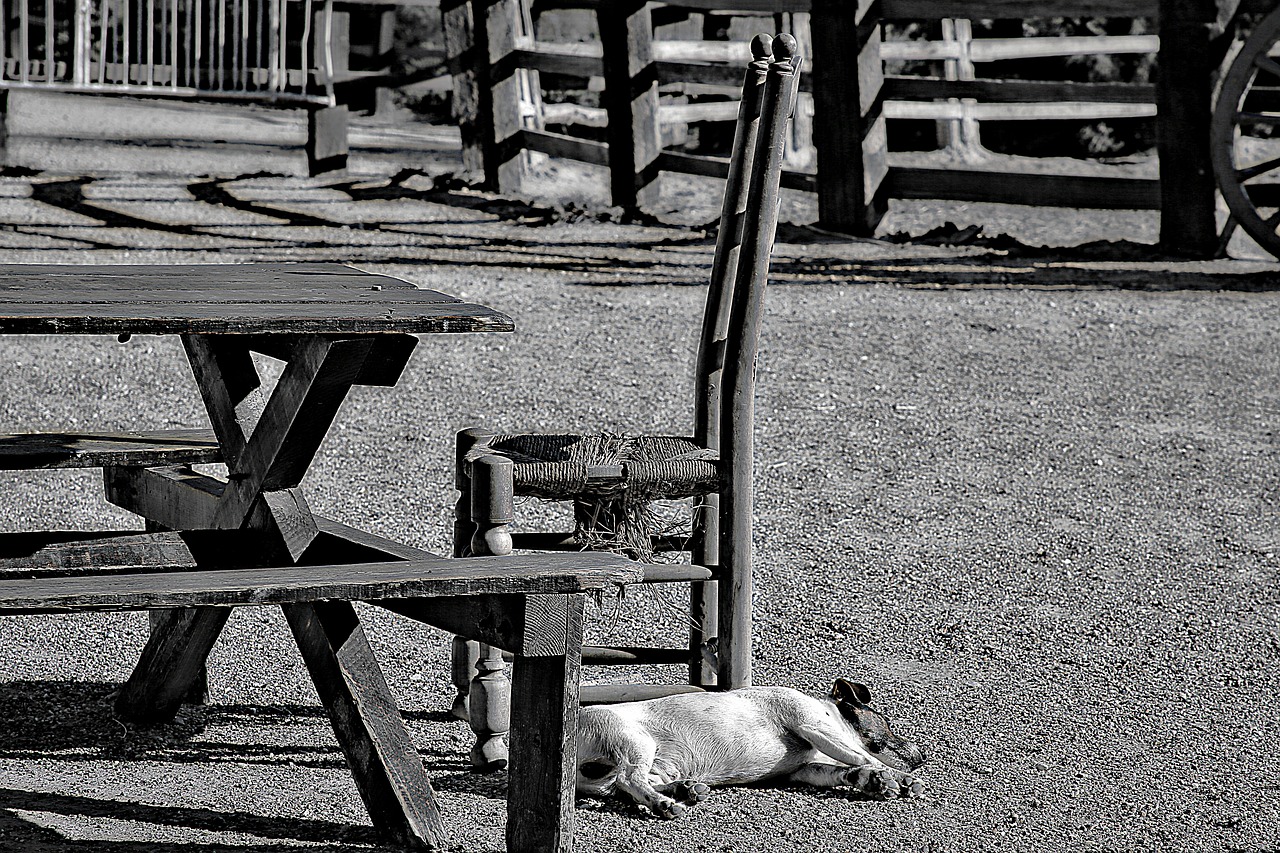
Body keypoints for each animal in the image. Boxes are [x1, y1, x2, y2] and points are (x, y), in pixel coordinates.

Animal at [576, 676, 926, 819]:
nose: (922, 756)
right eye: (885, 720)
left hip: (653, 765)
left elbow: (846, 769)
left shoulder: (804, 770)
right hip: (634, 742)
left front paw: (874, 782)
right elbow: (864, 757)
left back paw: (685, 790)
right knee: (630, 780)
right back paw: (665, 805)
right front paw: (899, 779)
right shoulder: (812, 724)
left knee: (630, 786)